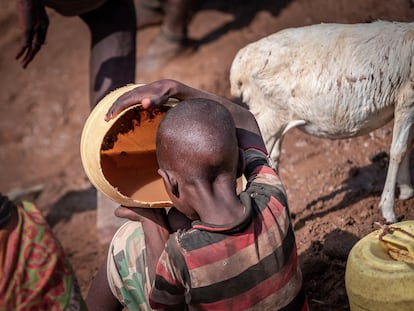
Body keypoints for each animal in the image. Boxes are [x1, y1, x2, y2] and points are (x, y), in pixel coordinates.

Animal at [230, 20, 414, 223]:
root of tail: (240, 64)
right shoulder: (407, 97)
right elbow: (399, 150)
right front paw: (389, 211)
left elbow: (409, 145)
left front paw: (407, 190)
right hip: (268, 116)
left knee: (271, 159)